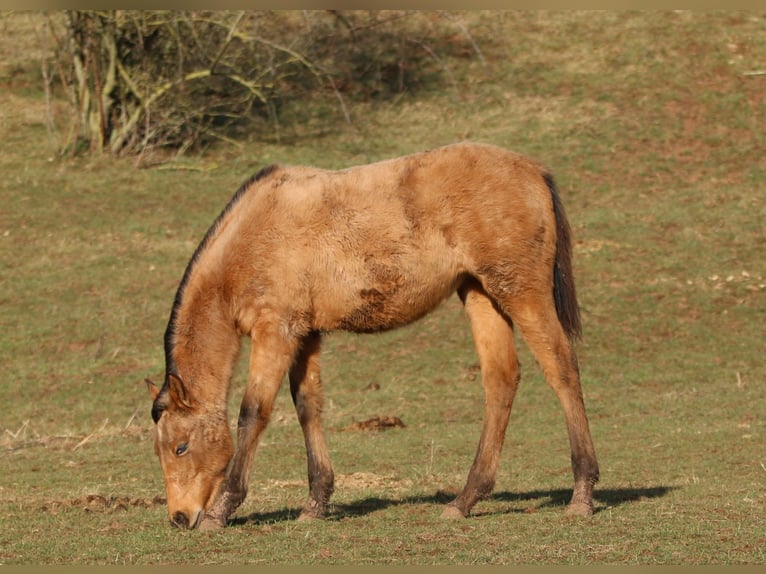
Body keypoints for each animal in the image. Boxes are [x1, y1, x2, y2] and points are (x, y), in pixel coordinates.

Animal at [144, 143, 600, 532]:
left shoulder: (276, 332)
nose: (180, 518)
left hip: (521, 291)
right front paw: (316, 503)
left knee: (561, 366)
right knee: (501, 380)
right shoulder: (306, 334)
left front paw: (222, 510)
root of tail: (533, 169)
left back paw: (582, 492)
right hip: (480, 293)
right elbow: (308, 406)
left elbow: (253, 413)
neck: (254, 236)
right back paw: (465, 499)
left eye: (181, 447)